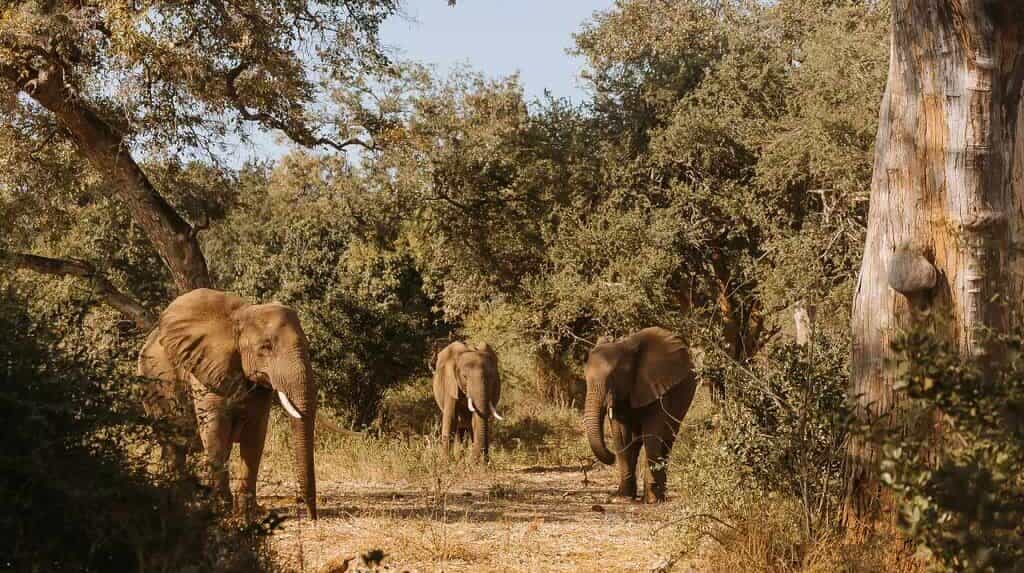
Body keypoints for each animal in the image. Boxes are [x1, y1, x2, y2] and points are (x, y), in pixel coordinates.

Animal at [138, 288, 318, 519]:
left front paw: (247, 515)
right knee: (172, 445)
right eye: (265, 347)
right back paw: (182, 504)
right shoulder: (205, 370)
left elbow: (255, 436)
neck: (241, 317)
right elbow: (216, 433)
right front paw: (222, 511)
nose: (311, 517)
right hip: (152, 385)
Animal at [583, 327, 698, 503]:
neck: (626, 346)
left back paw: (660, 495)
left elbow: (651, 434)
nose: (610, 456)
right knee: (636, 442)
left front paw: (651, 500)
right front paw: (623, 497)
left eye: (613, 376)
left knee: (666, 440)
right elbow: (622, 437)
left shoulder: (655, 384)